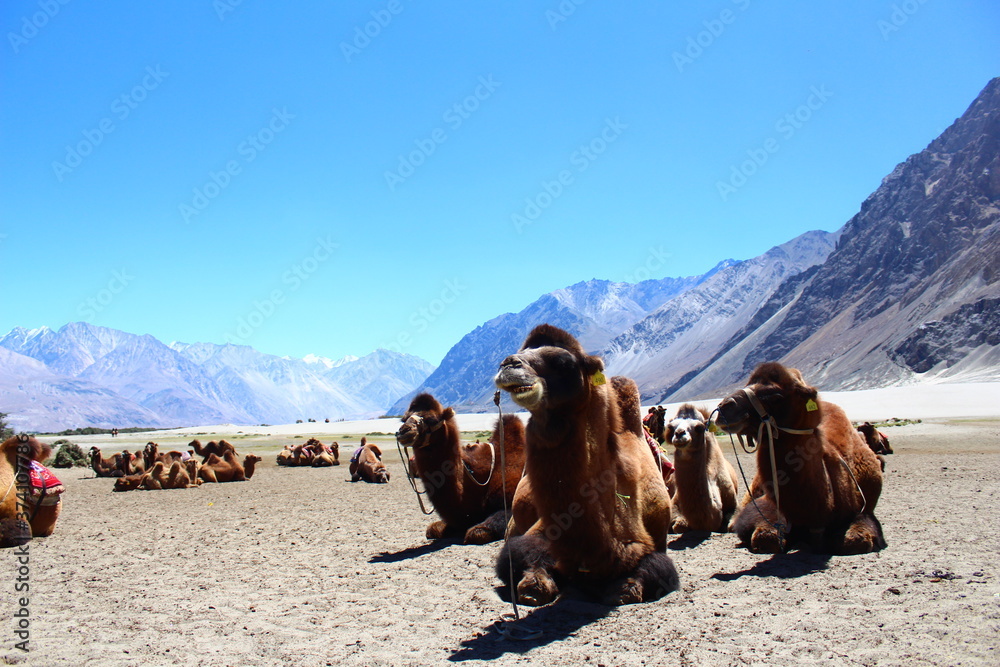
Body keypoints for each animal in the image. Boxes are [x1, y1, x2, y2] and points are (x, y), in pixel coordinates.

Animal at [396, 396, 527, 544]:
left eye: (432, 419)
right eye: (404, 418)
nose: (404, 431)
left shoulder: (507, 500)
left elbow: (477, 532)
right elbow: (432, 529)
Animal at [493, 324, 678, 606]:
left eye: (563, 362)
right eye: (522, 350)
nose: (508, 363)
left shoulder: (652, 545)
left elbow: (647, 574)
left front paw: (623, 587)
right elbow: (521, 557)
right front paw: (535, 585)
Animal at [665, 404, 738, 533]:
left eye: (699, 427)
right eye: (671, 426)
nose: (679, 434)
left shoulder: (734, 503)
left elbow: (732, 524)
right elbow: (679, 525)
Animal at [715, 362, 886, 555]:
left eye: (775, 395)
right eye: (748, 383)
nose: (724, 407)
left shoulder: (861, 511)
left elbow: (855, 540)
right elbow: (766, 536)